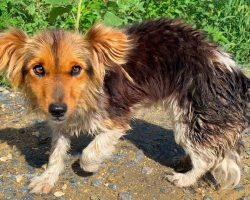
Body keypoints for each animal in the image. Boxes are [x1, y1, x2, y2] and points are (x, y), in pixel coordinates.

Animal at [0, 19, 250, 194]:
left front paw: (90, 167)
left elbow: (90, 152)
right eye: (38, 69)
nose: (57, 110)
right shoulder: (62, 123)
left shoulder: (115, 120)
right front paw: (46, 179)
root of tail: (231, 69)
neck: (85, 95)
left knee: (207, 158)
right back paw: (184, 162)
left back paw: (185, 178)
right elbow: (56, 153)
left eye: (76, 69)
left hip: (191, 116)